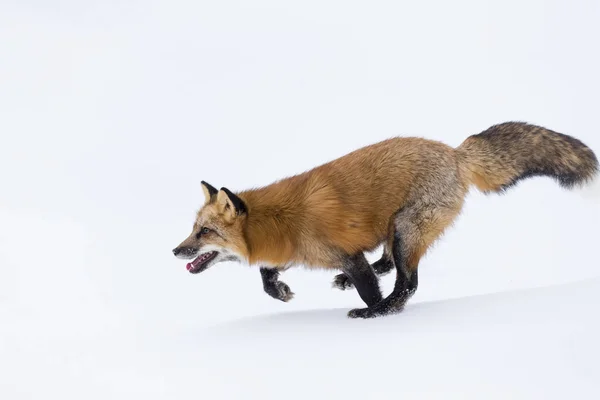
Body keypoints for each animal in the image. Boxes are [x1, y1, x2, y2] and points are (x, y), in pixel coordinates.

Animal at [172, 122, 596, 318]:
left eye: (204, 232)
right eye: (193, 230)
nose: (176, 251)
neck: (278, 222)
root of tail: (454, 153)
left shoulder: (342, 252)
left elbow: (369, 287)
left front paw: (375, 313)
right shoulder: (299, 251)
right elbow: (265, 274)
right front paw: (279, 291)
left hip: (407, 229)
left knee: (408, 282)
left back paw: (387, 307)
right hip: (395, 229)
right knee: (390, 263)